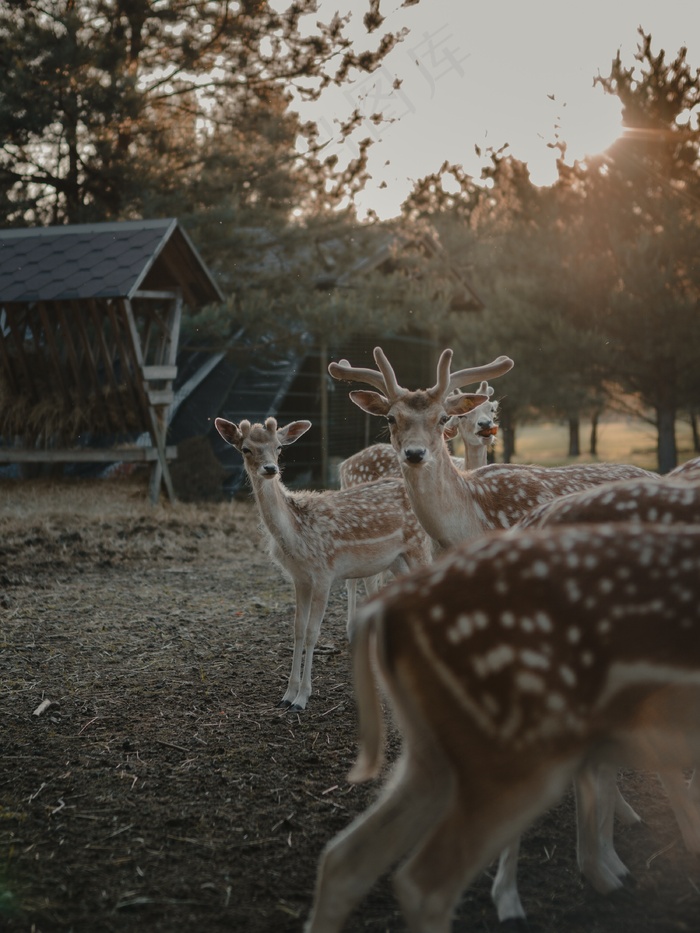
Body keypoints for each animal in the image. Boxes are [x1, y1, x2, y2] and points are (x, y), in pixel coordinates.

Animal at [213, 416, 432, 708]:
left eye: (279, 447)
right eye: (245, 449)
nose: (270, 468)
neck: (295, 534)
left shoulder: (324, 572)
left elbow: (312, 632)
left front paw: (302, 697)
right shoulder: (299, 578)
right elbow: (296, 629)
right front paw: (287, 694)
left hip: (419, 545)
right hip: (397, 560)